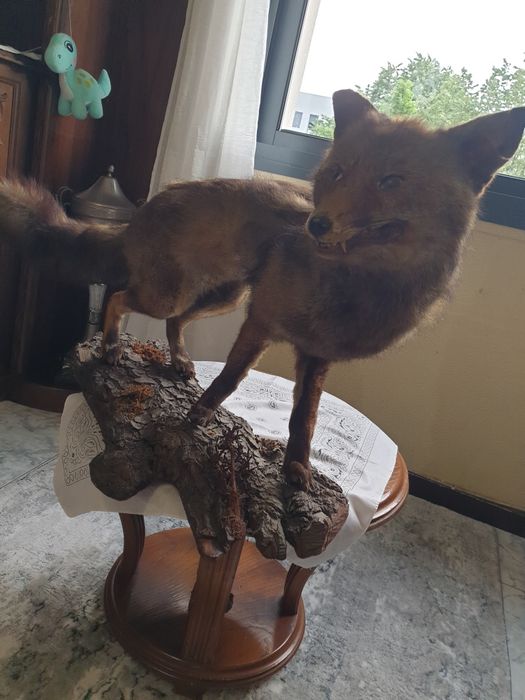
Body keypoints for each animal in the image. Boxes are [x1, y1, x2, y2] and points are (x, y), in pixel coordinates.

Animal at [1, 90, 524, 490]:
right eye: (338, 173)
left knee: (171, 321)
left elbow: (304, 419)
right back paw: (110, 346)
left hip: (221, 297)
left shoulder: (316, 355)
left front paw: (297, 469)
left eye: (391, 181)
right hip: (179, 294)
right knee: (119, 298)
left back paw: (179, 360)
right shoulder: (261, 322)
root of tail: (146, 208)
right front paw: (195, 420)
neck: (349, 289)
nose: (316, 224)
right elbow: (229, 381)